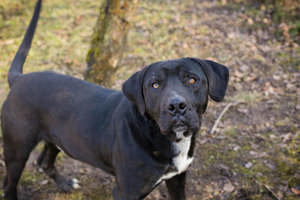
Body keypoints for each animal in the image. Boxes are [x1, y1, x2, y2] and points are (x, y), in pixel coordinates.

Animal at [1, 0, 229, 199]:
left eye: (192, 79)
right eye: (155, 85)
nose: (176, 106)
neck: (159, 135)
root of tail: (19, 79)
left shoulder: (177, 179)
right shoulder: (126, 191)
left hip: (57, 137)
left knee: (43, 161)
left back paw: (65, 183)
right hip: (17, 148)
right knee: (10, 183)